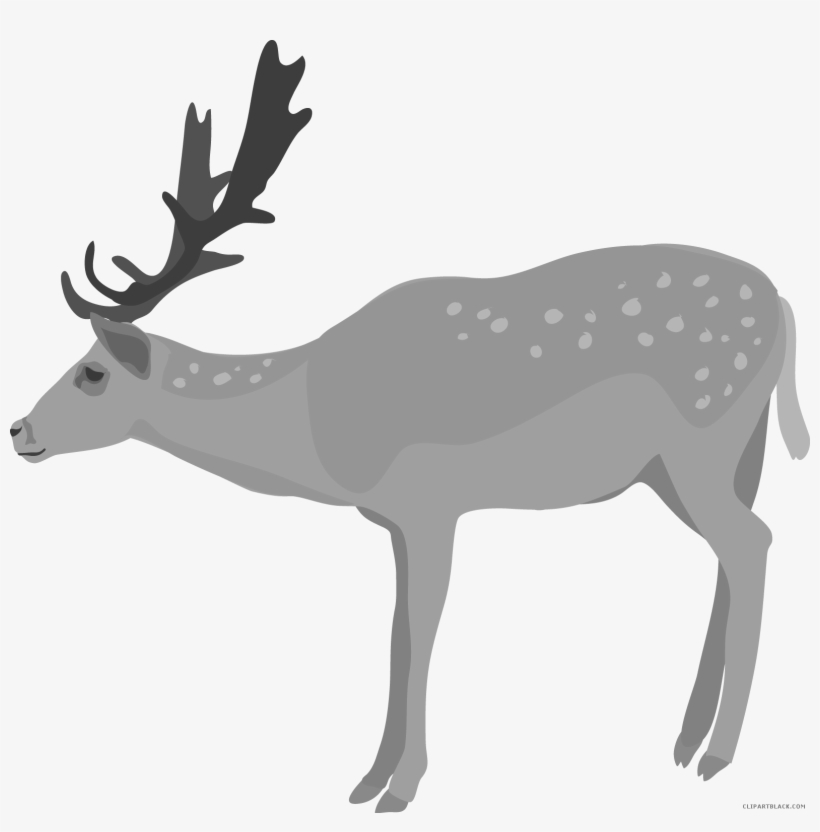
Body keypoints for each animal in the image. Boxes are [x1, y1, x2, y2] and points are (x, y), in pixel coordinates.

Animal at [10, 41, 811, 814]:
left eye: (91, 371)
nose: (19, 429)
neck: (317, 424)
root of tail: (783, 306)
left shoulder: (430, 505)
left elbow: (417, 632)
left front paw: (398, 788)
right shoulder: (394, 518)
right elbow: (395, 631)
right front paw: (368, 781)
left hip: (702, 438)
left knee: (752, 542)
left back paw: (717, 754)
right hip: (707, 460)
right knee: (736, 548)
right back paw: (684, 741)